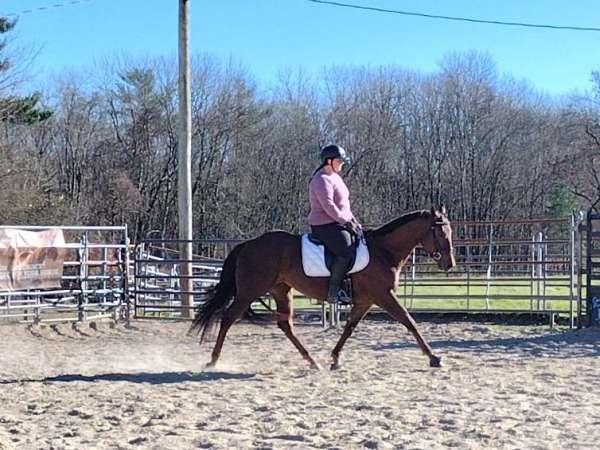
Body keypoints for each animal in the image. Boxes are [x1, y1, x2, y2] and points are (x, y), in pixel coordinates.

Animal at [190, 207, 458, 370]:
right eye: (440, 232)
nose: (450, 264)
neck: (383, 251)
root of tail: (247, 244)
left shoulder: (365, 300)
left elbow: (350, 327)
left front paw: (335, 358)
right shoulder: (383, 295)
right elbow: (408, 321)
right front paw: (434, 357)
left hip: (281, 290)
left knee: (285, 324)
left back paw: (312, 361)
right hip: (249, 291)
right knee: (228, 317)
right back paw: (212, 361)